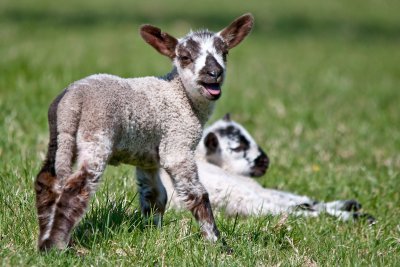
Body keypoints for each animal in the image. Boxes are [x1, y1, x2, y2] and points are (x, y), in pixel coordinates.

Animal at [33, 13, 253, 251]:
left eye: (225, 53)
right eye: (185, 57)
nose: (214, 74)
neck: (181, 95)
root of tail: (74, 99)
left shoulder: (148, 158)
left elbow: (155, 196)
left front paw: (153, 233)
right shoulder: (177, 144)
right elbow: (197, 194)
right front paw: (218, 244)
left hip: (58, 136)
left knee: (46, 181)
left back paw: (46, 235)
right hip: (97, 134)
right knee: (76, 188)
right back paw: (56, 246)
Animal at [160, 114, 376, 223]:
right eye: (238, 147)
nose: (266, 161)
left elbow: (301, 199)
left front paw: (348, 203)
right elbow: (298, 203)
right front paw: (351, 210)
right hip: (243, 197)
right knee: (293, 212)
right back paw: (358, 217)